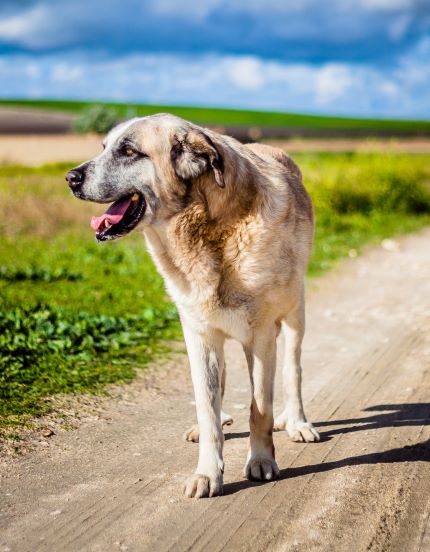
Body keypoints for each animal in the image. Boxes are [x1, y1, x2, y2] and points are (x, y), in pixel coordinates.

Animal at [66, 113, 320, 500]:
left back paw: (297, 422)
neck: (206, 233)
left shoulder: (261, 339)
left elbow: (259, 408)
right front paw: (207, 472)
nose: (70, 178)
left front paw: (261, 461)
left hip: (294, 317)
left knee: (294, 372)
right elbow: (207, 407)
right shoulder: (198, 335)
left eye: (129, 151)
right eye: (104, 147)